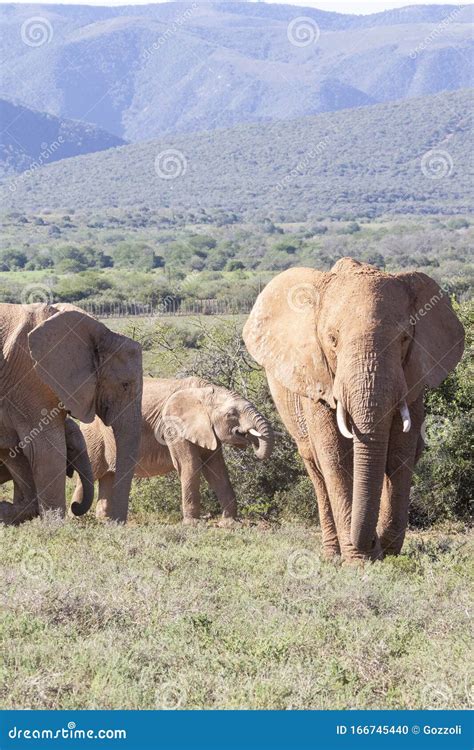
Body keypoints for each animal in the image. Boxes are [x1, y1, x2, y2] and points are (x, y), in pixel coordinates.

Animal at [0, 302, 143, 524]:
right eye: (125, 385)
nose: (113, 523)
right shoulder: (31, 381)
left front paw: (8, 512)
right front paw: (55, 526)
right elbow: (46, 451)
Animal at [73, 378, 274, 524]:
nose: (251, 440)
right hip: (93, 434)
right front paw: (193, 524)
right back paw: (77, 518)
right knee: (92, 473)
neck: (204, 391)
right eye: (231, 414)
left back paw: (105, 521)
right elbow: (190, 466)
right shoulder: (174, 427)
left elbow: (216, 470)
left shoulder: (206, 430)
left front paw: (230, 524)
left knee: (108, 476)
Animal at [243, 262, 464, 560]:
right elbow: (336, 458)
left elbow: (400, 454)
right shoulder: (319, 381)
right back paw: (332, 554)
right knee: (315, 468)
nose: (371, 543)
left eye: (405, 338)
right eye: (332, 339)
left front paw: (384, 551)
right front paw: (359, 560)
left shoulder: (413, 379)